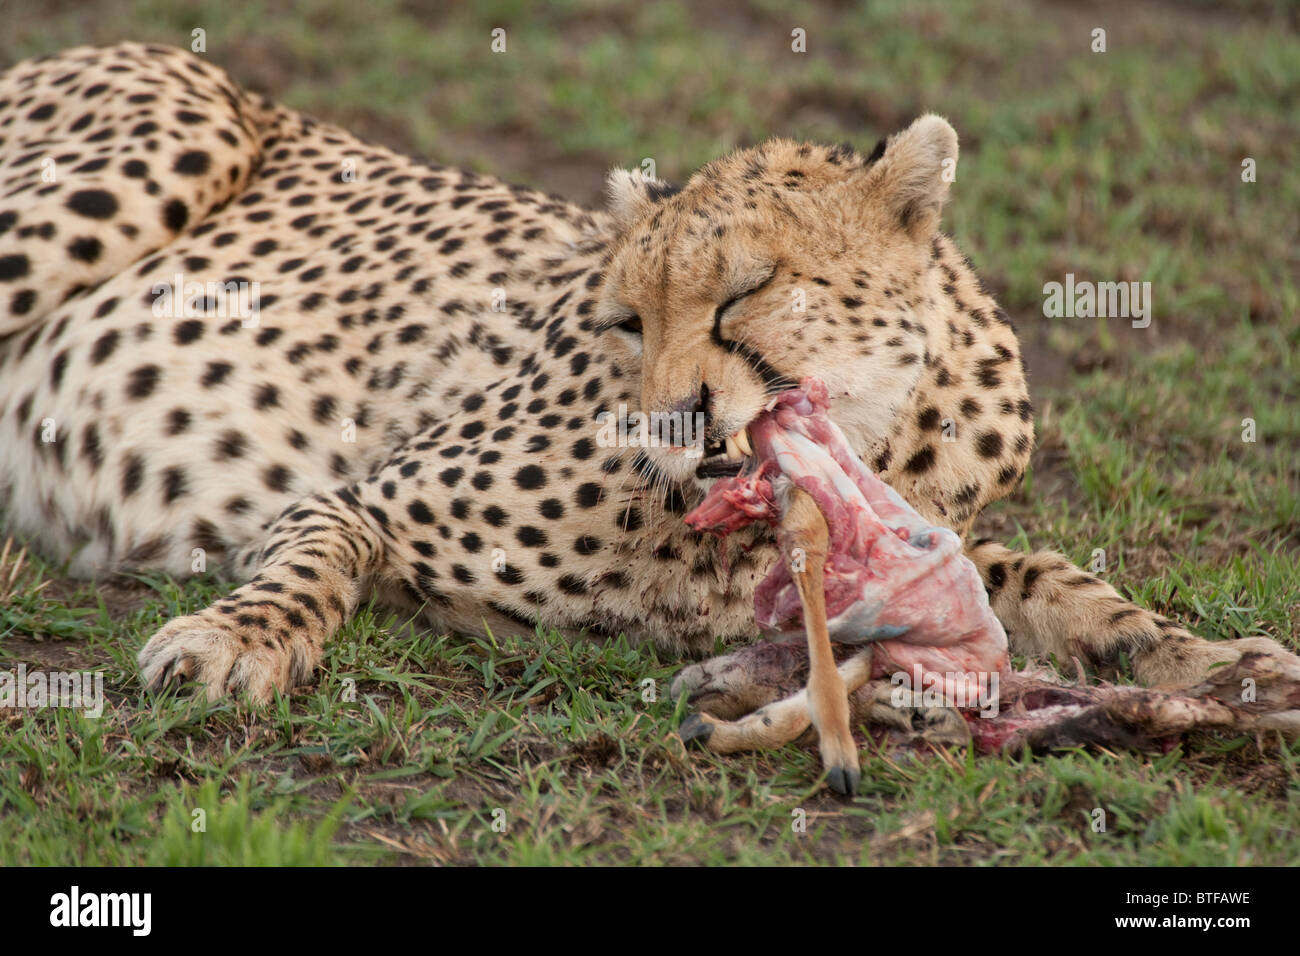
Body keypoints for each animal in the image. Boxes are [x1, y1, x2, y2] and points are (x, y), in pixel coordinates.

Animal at [0, 41, 1279, 707]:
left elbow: (1058, 581)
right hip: (172, 139)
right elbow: (312, 561)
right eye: (625, 319)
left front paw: (1207, 655)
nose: (672, 418)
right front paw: (238, 639)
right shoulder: (357, 493)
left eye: (744, 291)